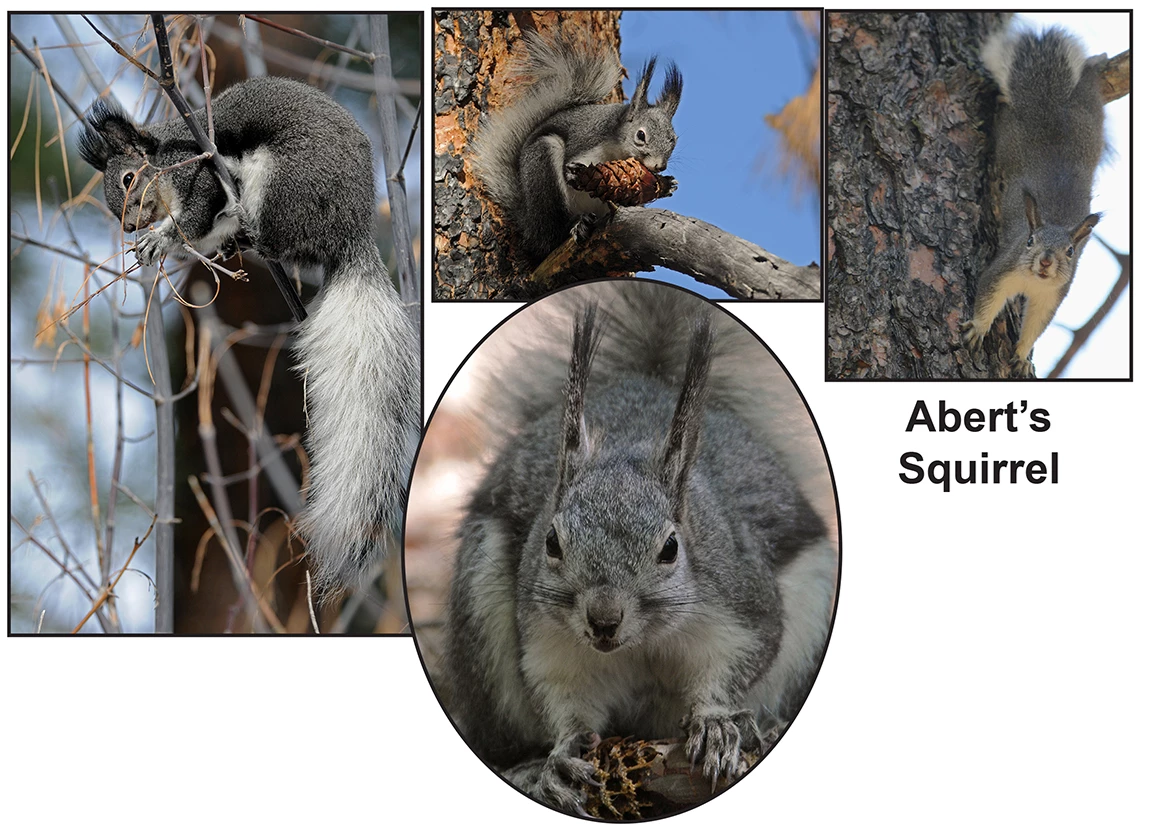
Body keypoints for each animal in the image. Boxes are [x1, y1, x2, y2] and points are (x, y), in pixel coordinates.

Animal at [78, 76, 420, 593]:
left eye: (128, 179)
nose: (131, 226)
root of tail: (350, 228)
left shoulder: (197, 171)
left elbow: (194, 216)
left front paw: (162, 239)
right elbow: (203, 233)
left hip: (284, 183)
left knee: (272, 229)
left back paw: (254, 230)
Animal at [441, 281, 837, 815]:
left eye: (670, 548)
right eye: (551, 541)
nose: (603, 620)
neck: (641, 642)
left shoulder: (739, 604)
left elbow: (741, 659)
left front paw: (715, 722)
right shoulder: (551, 641)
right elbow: (561, 694)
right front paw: (563, 754)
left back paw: (766, 727)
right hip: (481, 615)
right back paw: (526, 768)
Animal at [472, 32, 682, 260]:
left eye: (674, 139)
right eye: (640, 135)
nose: (659, 166)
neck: (617, 148)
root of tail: (530, 223)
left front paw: (668, 184)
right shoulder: (586, 141)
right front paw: (574, 173)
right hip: (543, 168)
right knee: (552, 234)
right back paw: (575, 225)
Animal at [961, 27, 1105, 375]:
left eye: (1070, 251)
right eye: (1029, 240)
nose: (1046, 261)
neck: (1033, 282)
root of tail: (1046, 102)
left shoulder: (1052, 296)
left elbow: (1037, 325)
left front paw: (1022, 356)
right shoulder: (1002, 270)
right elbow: (987, 298)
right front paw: (978, 329)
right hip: (1007, 131)